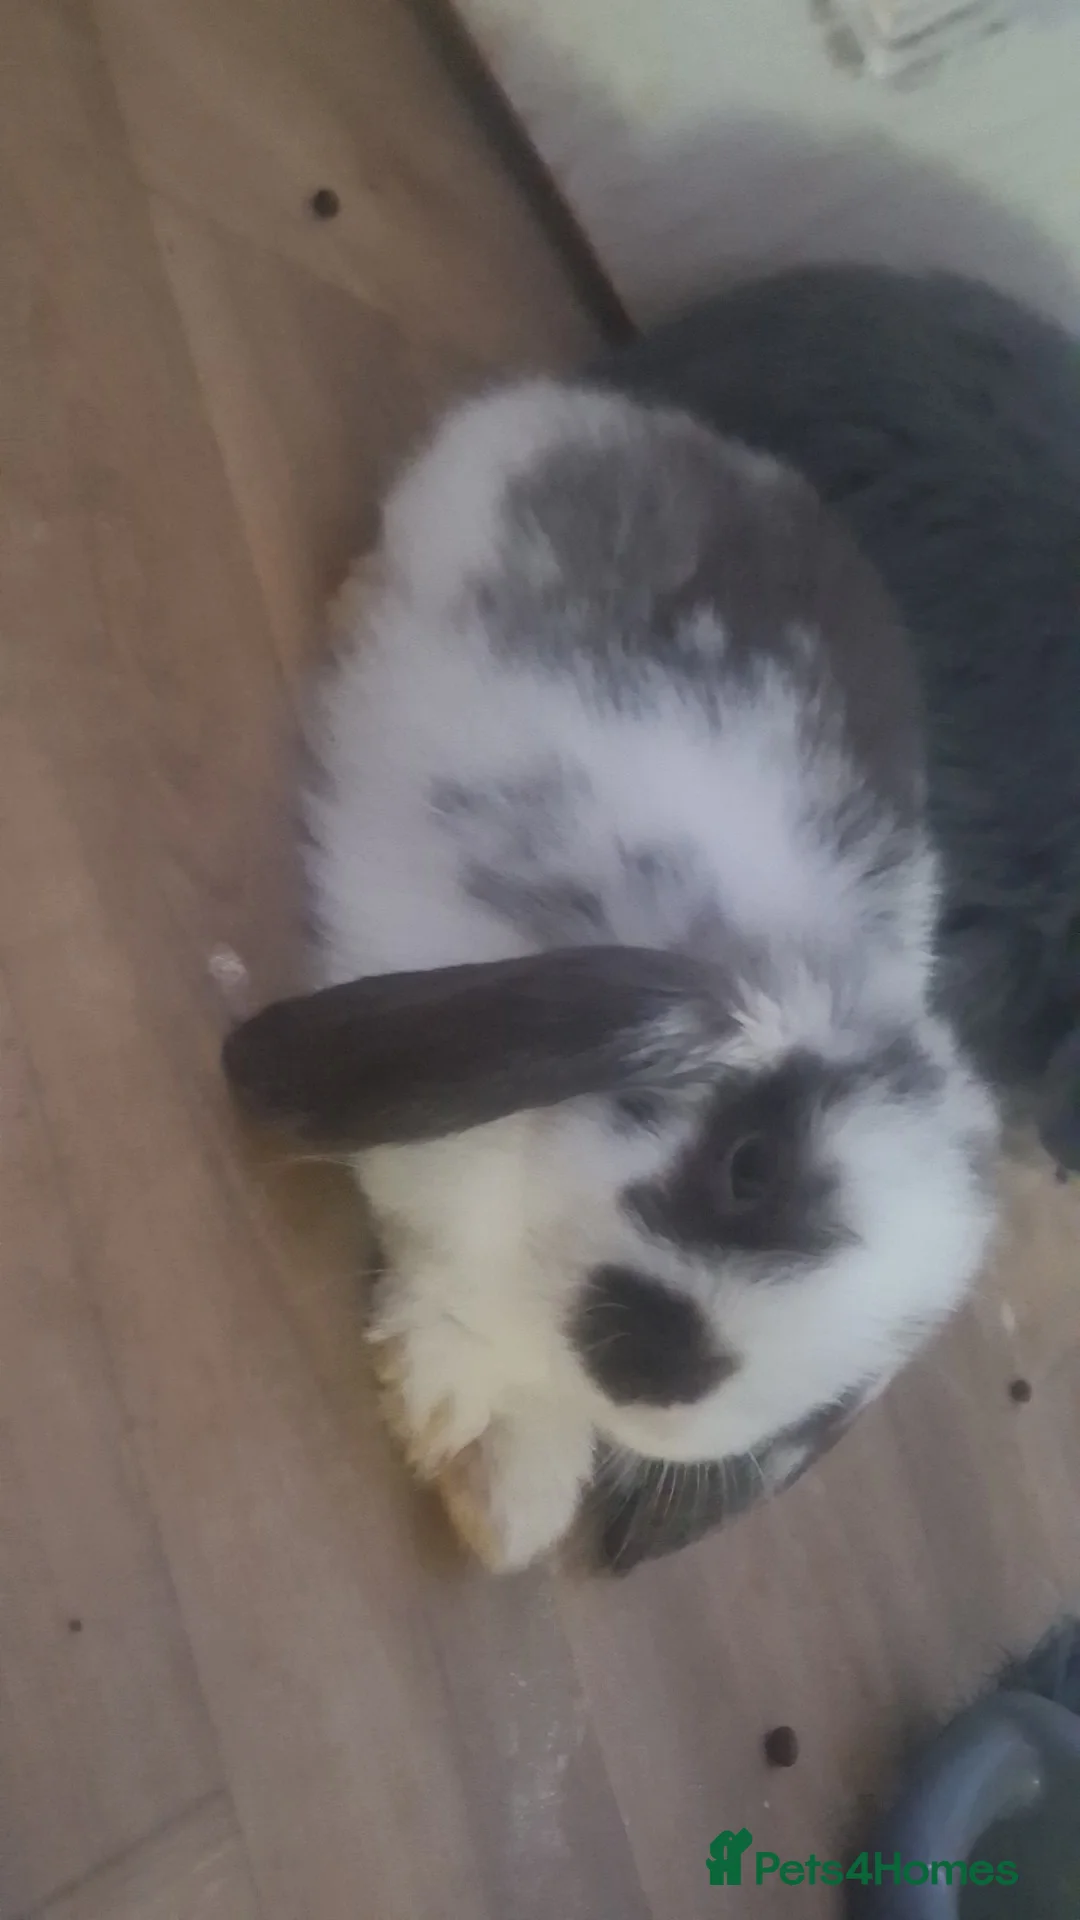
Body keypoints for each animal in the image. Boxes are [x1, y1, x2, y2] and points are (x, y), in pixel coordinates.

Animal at [223, 378, 997, 1574]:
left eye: (857, 1376)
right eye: (747, 1166)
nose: (656, 1366)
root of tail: (695, 437)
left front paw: (505, 1495)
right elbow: (453, 1282)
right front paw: (465, 1426)